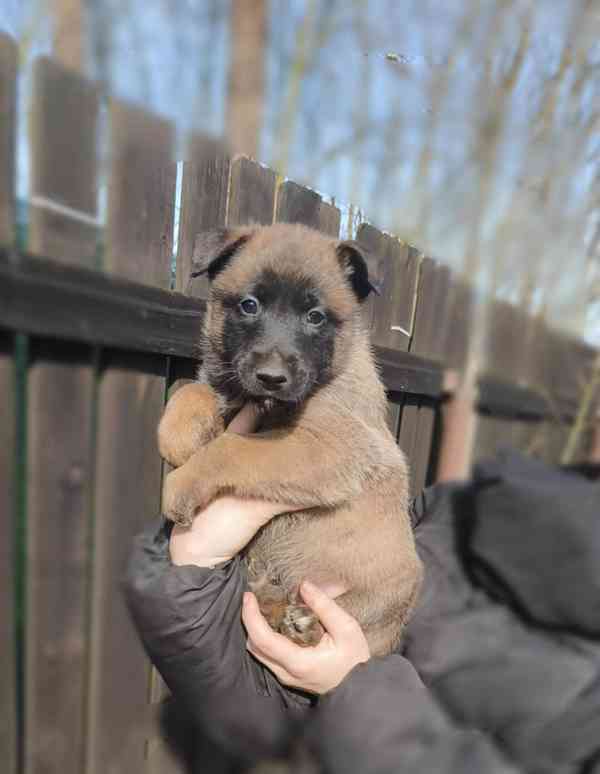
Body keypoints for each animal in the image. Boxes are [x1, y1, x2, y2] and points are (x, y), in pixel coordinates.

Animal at [157, 223, 424, 656]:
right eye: (249, 305)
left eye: (315, 317)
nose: (271, 377)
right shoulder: (230, 389)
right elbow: (192, 391)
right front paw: (181, 437)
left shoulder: (330, 445)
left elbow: (233, 448)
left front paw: (183, 482)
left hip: (380, 600)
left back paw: (306, 624)